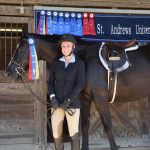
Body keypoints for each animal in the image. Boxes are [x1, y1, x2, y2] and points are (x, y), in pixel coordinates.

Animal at [6, 33, 150, 150]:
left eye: (21, 49)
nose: (8, 72)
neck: (84, 58)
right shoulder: (85, 98)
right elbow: (85, 125)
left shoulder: (100, 98)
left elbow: (108, 125)